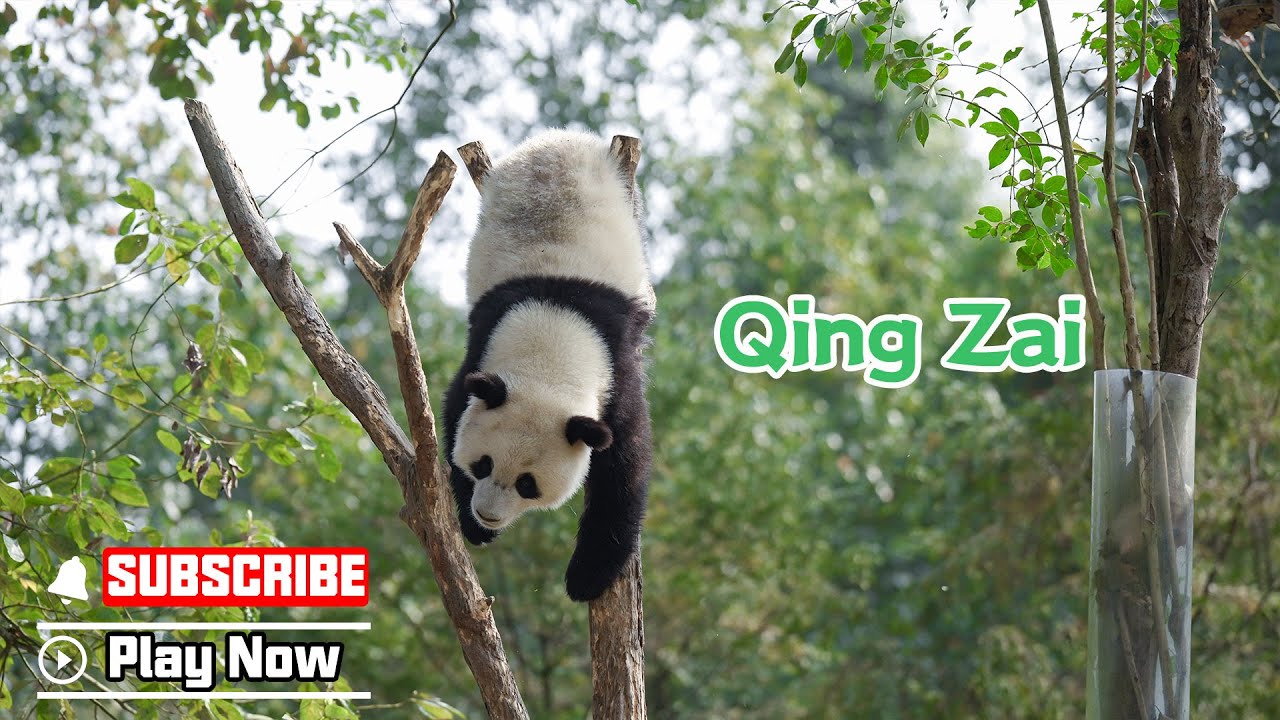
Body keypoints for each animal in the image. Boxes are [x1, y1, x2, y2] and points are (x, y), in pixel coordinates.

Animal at [442, 130, 654, 603]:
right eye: (483, 464)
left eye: (528, 483)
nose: (488, 515)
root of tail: (558, 138)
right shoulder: (483, 342)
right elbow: (453, 416)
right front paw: (472, 526)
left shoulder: (616, 367)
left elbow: (623, 467)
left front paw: (587, 577)